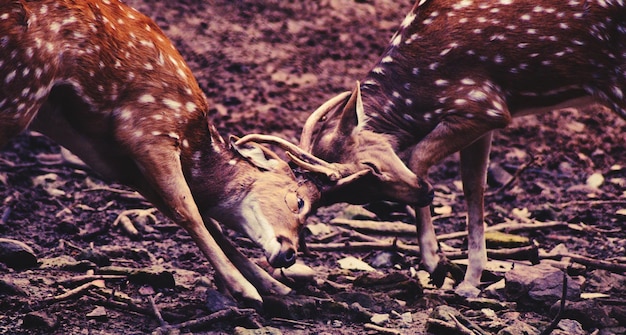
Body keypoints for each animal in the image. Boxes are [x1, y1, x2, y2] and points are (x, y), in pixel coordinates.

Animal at [0, 0, 320, 304]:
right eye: (299, 201)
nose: (290, 253)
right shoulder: (149, 130)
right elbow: (188, 211)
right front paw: (246, 290)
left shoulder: (115, 161)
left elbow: (204, 219)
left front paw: (275, 286)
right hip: (21, 88)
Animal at [240, 0, 624, 296]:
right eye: (356, 195)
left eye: (370, 167)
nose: (424, 192)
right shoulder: (481, 112)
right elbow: (474, 187)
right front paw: (466, 279)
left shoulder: (484, 106)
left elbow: (419, 155)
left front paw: (435, 261)